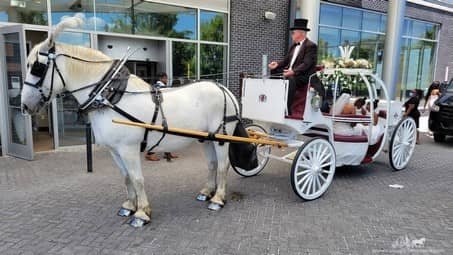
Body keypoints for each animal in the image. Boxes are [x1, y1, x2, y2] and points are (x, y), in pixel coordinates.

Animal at [20, 17, 240, 227]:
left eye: (37, 67)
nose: (24, 106)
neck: (111, 97)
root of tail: (223, 89)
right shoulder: (115, 150)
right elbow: (126, 177)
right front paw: (129, 206)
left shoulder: (128, 149)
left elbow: (137, 178)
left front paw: (142, 213)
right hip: (206, 138)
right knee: (212, 164)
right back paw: (207, 192)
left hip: (222, 138)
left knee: (223, 165)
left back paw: (218, 199)